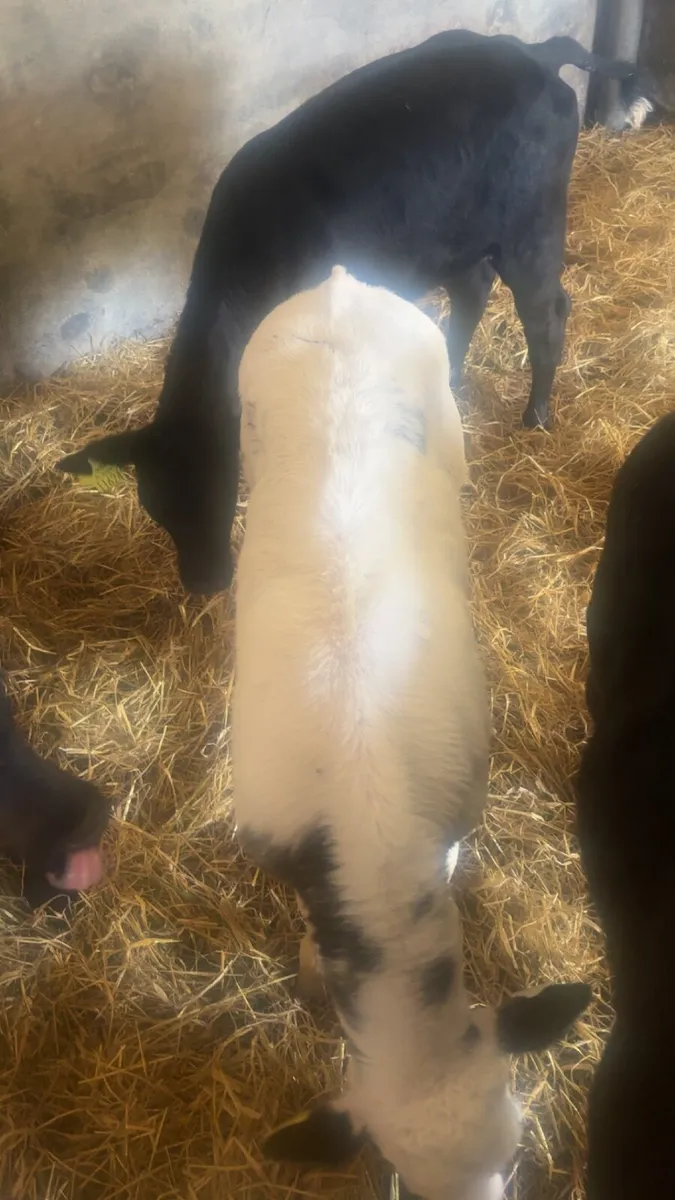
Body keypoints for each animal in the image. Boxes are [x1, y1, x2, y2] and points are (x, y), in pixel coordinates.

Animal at [57, 31, 659, 597]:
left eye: (222, 485)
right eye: (155, 505)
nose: (206, 582)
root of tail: (532, 51)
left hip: (530, 229)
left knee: (547, 312)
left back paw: (536, 416)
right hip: (453, 237)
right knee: (472, 291)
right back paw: (450, 378)